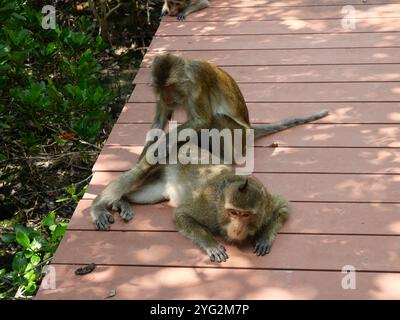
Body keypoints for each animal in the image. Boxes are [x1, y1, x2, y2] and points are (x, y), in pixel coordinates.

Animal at [92, 144, 290, 262]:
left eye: (245, 214)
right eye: (233, 212)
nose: (237, 229)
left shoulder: (267, 203)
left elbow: (283, 206)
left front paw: (264, 237)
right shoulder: (209, 209)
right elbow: (181, 214)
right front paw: (211, 244)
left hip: (161, 185)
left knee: (145, 194)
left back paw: (123, 201)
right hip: (157, 158)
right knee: (136, 174)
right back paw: (98, 207)